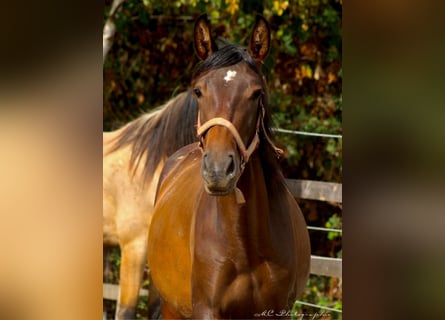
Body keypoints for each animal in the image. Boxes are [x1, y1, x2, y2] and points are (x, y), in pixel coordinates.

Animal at [147, 13, 310, 318]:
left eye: (256, 93)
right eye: (198, 91)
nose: (218, 170)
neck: (244, 243)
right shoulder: (206, 309)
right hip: (170, 306)